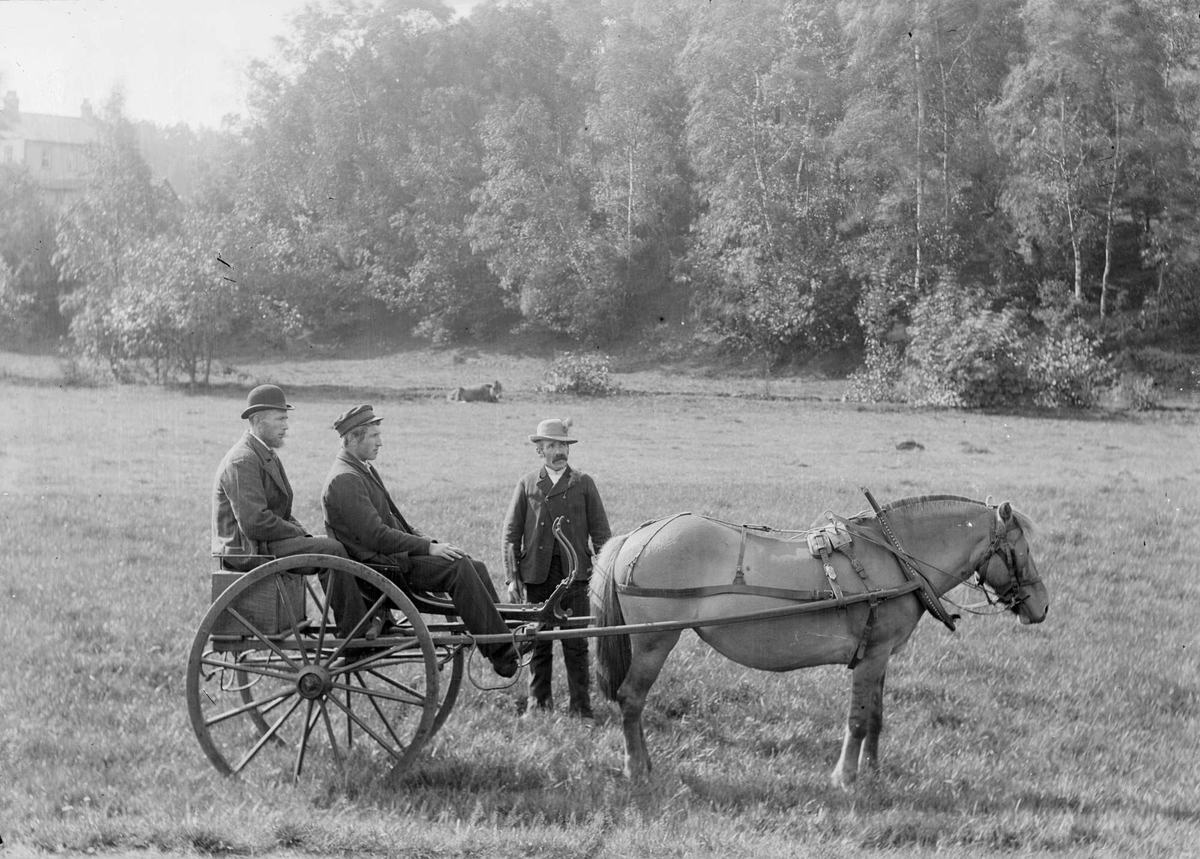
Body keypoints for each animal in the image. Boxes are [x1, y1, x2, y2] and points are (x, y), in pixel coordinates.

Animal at [590, 496, 1051, 787]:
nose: (1043, 606)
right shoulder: (872, 656)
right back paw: (637, 769)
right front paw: (845, 778)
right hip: (653, 641)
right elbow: (858, 720)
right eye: (1022, 550)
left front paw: (872, 773)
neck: (896, 559)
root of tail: (639, 535)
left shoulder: (880, 656)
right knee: (631, 699)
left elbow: (876, 718)